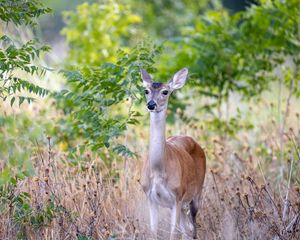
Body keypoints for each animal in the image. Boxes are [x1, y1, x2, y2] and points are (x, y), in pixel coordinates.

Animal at [140, 68, 206, 240]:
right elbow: (153, 232)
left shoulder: (177, 195)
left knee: (193, 227)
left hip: (196, 192)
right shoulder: (150, 197)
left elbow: (172, 234)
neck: (158, 170)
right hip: (180, 205)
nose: (151, 105)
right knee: (186, 229)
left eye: (165, 91)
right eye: (146, 90)